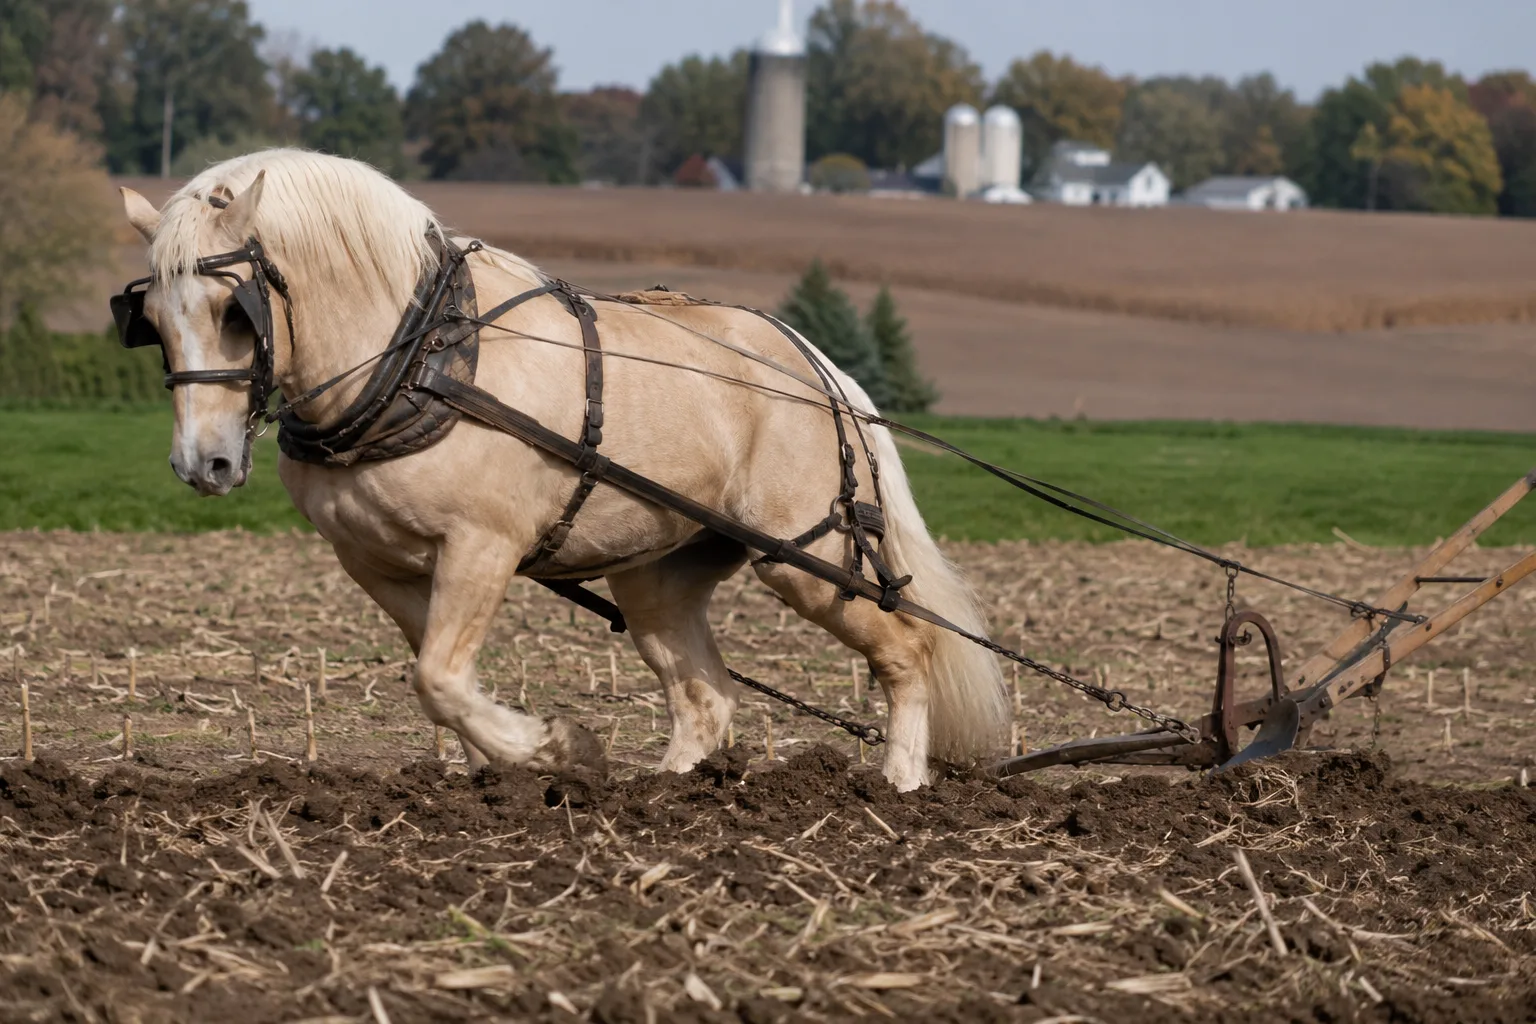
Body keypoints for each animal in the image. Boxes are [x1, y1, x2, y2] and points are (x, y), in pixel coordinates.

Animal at [116, 148, 1008, 791]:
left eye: (235, 312)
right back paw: (665, 791)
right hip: (659, 576)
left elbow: (440, 677)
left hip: (808, 556)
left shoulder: (483, 545)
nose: (204, 463)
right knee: (706, 696)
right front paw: (503, 770)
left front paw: (558, 748)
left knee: (908, 648)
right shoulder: (377, 563)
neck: (416, 358)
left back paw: (900, 785)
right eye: (150, 319)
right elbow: (441, 679)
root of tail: (818, 367)